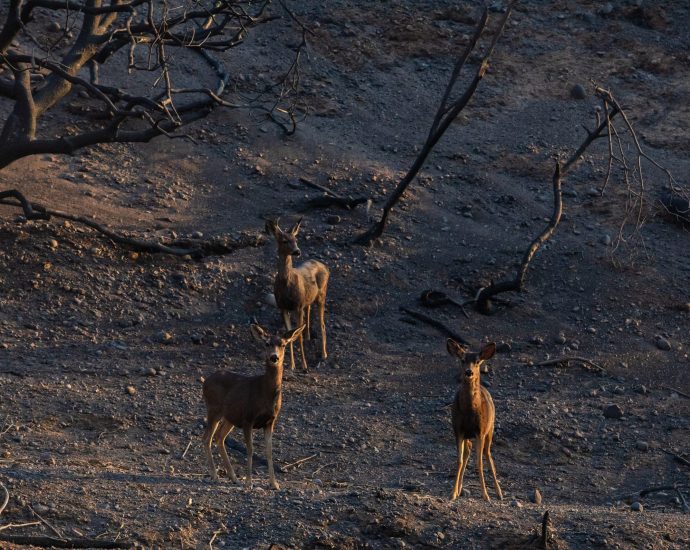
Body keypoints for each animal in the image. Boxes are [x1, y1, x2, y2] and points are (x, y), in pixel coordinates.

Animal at [200, 324, 306, 492]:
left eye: (283, 344)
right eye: (266, 343)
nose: (274, 357)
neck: (265, 394)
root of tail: (205, 381)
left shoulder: (270, 421)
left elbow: (269, 452)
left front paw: (274, 483)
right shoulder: (248, 418)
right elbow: (250, 450)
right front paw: (249, 483)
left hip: (230, 416)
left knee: (219, 437)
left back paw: (233, 477)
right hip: (213, 409)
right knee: (206, 438)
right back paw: (215, 475)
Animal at [264, 219, 328, 370]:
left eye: (296, 239)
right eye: (284, 240)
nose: (297, 251)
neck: (286, 284)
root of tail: (325, 267)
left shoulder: (298, 306)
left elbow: (296, 336)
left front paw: (304, 364)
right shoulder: (283, 307)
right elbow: (289, 335)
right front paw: (292, 364)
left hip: (322, 295)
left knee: (322, 324)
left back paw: (324, 354)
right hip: (309, 299)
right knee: (309, 312)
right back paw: (309, 336)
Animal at [446, 338, 500, 502]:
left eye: (477, 361)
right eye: (462, 360)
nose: (469, 372)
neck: (469, 412)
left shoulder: (480, 431)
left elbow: (479, 463)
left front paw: (485, 495)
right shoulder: (458, 430)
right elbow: (459, 461)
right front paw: (452, 493)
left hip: (490, 429)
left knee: (488, 454)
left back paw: (499, 493)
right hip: (468, 436)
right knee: (467, 453)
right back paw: (459, 489)